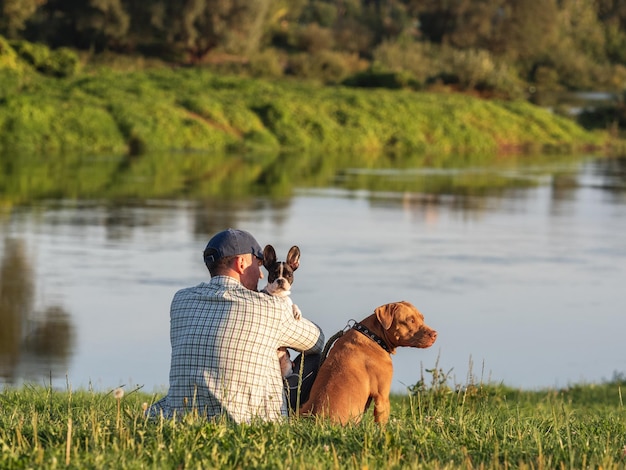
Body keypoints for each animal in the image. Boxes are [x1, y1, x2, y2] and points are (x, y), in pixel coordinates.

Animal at [260, 244, 300, 376]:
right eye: (273, 274)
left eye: (289, 275)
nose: (281, 280)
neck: (279, 296)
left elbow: (292, 302)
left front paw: (297, 311)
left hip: (287, 366)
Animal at [298, 302, 436, 426]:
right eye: (410, 320)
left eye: (422, 318)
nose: (435, 334)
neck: (374, 336)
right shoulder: (382, 397)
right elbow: (381, 425)